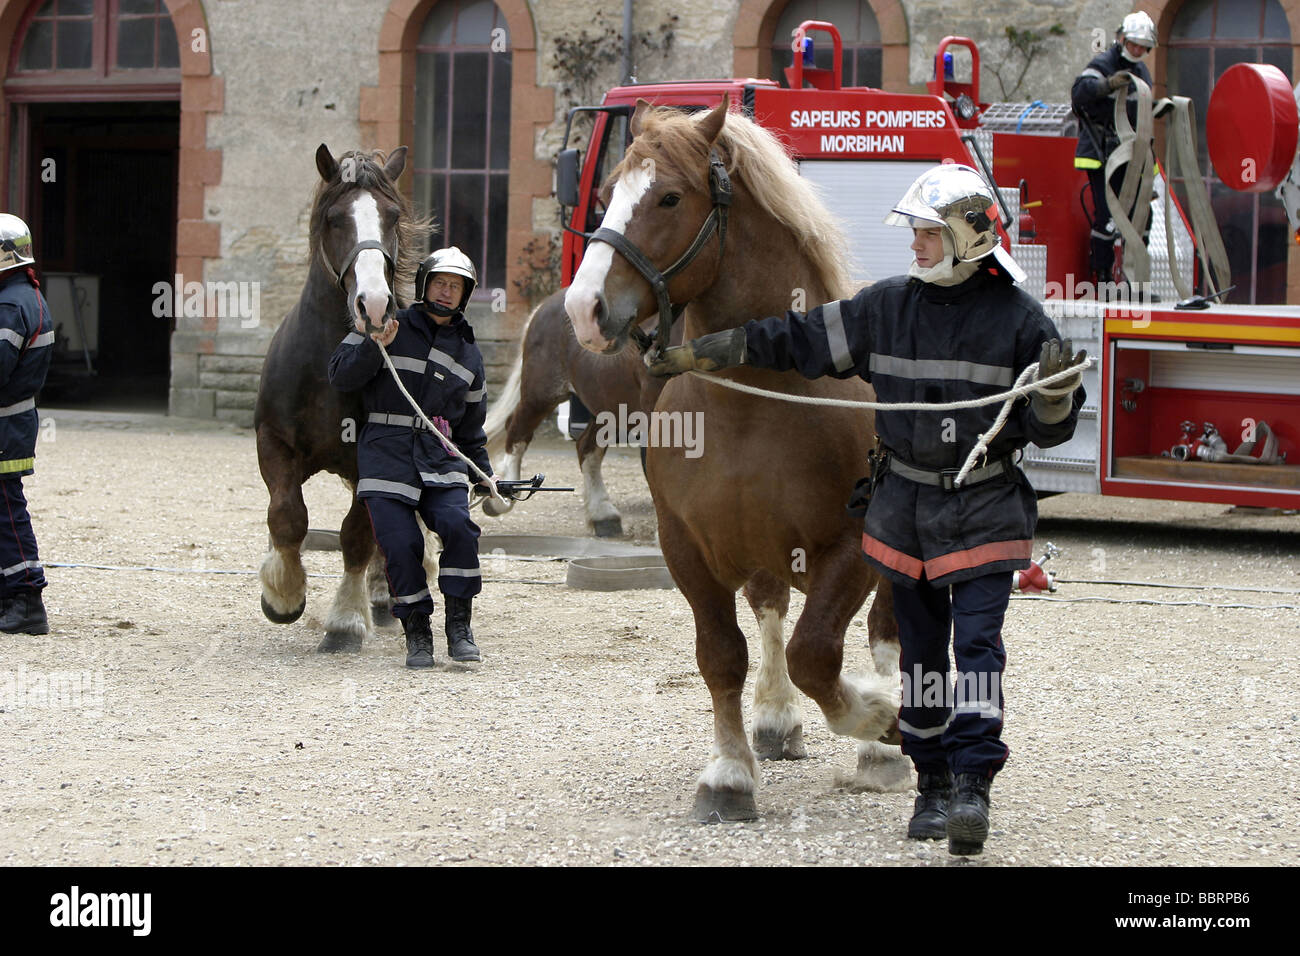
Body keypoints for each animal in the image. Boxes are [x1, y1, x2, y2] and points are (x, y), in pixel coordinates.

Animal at [254, 143, 431, 650]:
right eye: (334, 218)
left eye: (392, 216)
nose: (374, 305)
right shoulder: (273, 443)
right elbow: (287, 515)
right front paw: (283, 596)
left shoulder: (374, 461)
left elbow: (356, 534)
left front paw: (346, 621)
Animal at [486, 287, 670, 535]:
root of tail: (545, 304)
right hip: (541, 394)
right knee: (517, 432)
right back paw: (502, 497)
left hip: (611, 405)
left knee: (586, 447)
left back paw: (603, 516)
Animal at [564, 102, 909, 822]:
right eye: (608, 193)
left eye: (670, 197)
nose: (583, 309)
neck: (759, 394)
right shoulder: (687, 548)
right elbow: (723, 655)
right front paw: (729, 775)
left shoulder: (852, 548)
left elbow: (817, 653)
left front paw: (878, 717)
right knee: (772, 605)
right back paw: (776, 721)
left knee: (883, 630)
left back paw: (880, 750)